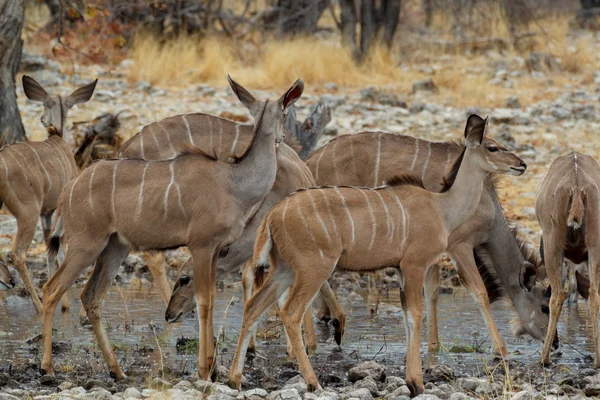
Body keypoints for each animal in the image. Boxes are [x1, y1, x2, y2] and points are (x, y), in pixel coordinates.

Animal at [0, 75, 95, 312]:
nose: (42, 119)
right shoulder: (58, 211)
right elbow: (59, 249)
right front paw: (65, 305)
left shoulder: (47, 213)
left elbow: (49, 249)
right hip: (27, 212)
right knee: (18, 253)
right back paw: (38, 305)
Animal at [41, 76, 304, 382]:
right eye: (285, 113)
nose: (282, 139)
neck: (234, 183)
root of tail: (68, 190)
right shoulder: (201, 245)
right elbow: (203, 301)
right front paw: (204, 370)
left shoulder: (215, 249)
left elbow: (210, 297)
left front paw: (214, 367)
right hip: (86, 245)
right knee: (51, 289)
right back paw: (47, 367)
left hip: (115, 247)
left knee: (91, 296)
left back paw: (117, 371)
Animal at [308, 126, 552, 354]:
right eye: (544, 307)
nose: (555, 342)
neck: (486, 203)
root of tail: (311, 160)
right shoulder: (458, 246)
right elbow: (478, 292)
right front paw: (500, 349)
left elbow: (432, 291)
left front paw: (433, 344)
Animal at [536, 152, 600, 368]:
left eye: (541, 309)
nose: (557, 343)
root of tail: (577, 186)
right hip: (595, 243)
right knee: (594, 295)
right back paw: (597, 360)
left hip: (552, 242)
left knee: (557, 296)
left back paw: (544, 358)